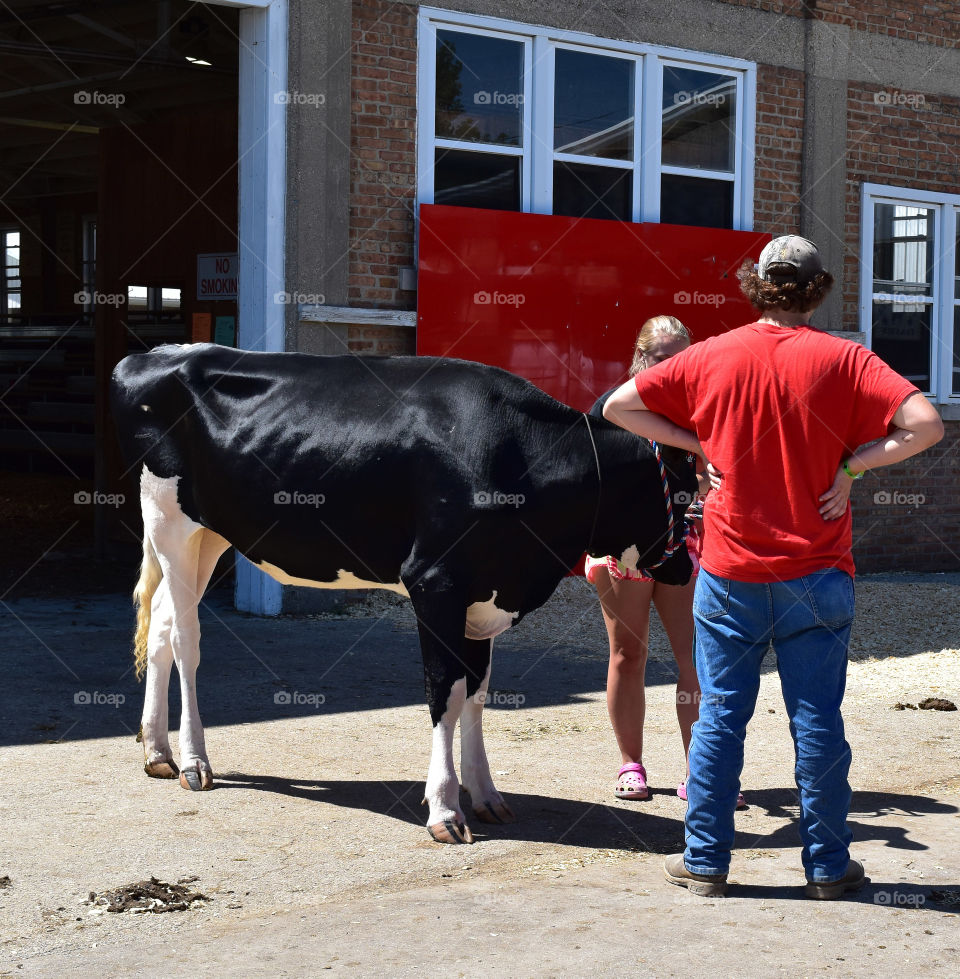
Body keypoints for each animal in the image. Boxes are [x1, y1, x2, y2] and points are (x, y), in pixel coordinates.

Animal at [112, 342, 692, 844]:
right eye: (686, 490)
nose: (688, 568)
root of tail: (156, 354)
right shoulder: (436, 582)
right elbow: (444, 692)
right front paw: (445, 808)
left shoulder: (484, 596)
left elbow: (476, 691)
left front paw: (485, 794)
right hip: (169, 519)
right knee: (186, 638)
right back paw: (194, 761)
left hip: (210, 534)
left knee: (162, 623)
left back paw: (157, 751)